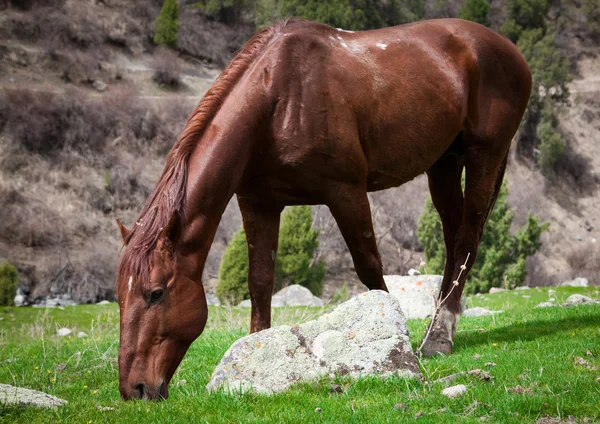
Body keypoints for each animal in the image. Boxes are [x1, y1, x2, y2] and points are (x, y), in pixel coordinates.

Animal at [115, 17, 532, 400]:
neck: (278, 101)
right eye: (120, 297)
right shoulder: (258, 203)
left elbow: (369, 269)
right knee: (453, 236)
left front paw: (392, 343)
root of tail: (507, 49)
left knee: (467, 238)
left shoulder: (346, 192)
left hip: (484, 155)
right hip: (444, 162)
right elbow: (260, 280)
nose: (134, 388)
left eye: (156, 293)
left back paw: (438, 338)